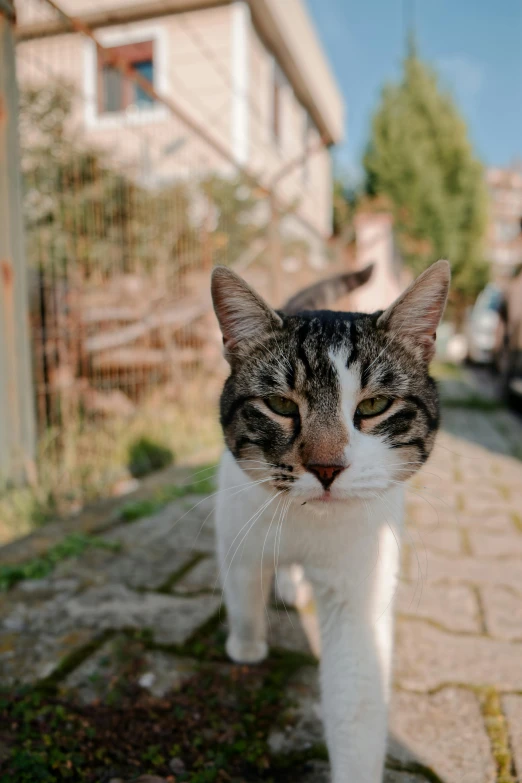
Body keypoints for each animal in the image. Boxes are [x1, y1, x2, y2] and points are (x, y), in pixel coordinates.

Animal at [207, 262, 446, 783]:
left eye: (374, 407)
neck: (307, 525)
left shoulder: (359, 585)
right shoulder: (237, 534)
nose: (326, 467)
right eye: (280, 405)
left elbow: (356, 697)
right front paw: (246, 645)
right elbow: (243, 596)